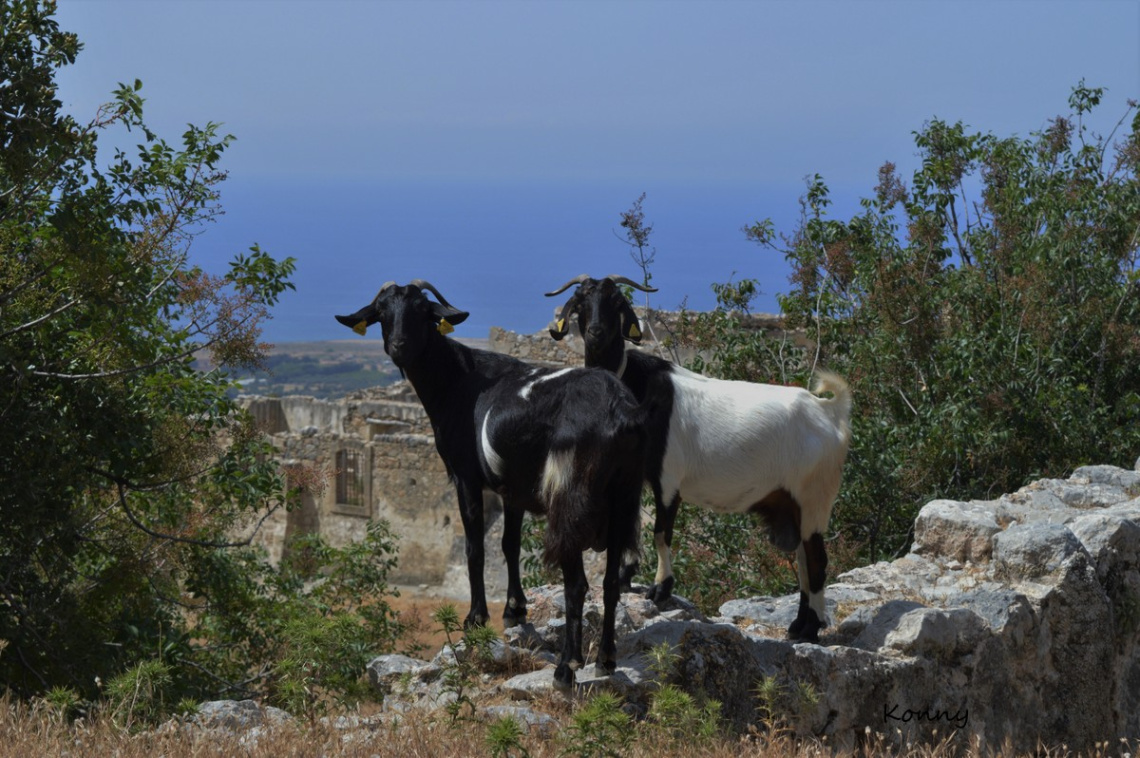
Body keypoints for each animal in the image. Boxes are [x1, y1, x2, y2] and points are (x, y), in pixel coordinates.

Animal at [332, 278, 647, 683]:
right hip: (625, 496)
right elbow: (509, 544)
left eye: (422, 310)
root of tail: (618, 410)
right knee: (609, 581)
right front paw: (514, 609)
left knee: (577, 582)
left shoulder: (465, 476)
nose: (399, 345)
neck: (458, 382)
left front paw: (475, 617)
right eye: (383, 312)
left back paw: (567, 666)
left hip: (570, 498)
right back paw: (606, 658)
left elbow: (475, 547)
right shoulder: (511, 488)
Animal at [547, 274, 852, 642]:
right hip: (794, 504)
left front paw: (661, 588)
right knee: (806, 562)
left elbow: (660, 532)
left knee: (817, 561)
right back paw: (797, 626)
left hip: (814, 497)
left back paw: (810, 628)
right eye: (580, 301)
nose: (596, 332)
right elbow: (631, 526)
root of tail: (831, 412)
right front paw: (626, 576)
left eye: (617, 302)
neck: (637, 390)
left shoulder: (667, 477)